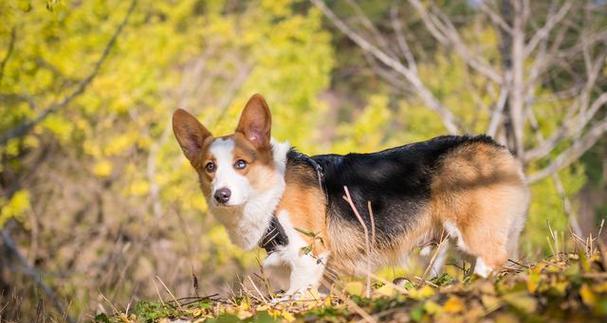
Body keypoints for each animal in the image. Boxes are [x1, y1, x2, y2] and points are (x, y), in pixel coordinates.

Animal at [173, 93, 528, 298]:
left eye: (241, 164)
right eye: (209, 167)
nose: (221, 195)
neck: (274, 189)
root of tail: (495, 147)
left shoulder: (309, 253)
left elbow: (297, 297)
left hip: (474, 232)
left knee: (491, 262)